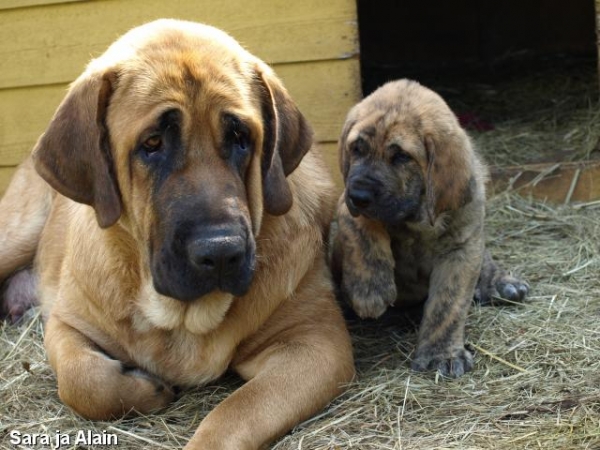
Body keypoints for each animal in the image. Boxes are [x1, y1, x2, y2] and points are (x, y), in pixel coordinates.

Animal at [0, 19, 354, 448]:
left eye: (241, 138)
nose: (221, 252)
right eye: (152, 143)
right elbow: (83, 381)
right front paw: (147, 388)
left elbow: (235, 412)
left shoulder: (314, 342)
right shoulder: (68, 322)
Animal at [330, 79, 528, 378]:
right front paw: (370, 292)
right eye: (356, 149)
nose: (360, 195)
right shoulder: (345, 203)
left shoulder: (461, 248)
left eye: (401, 157)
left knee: (486, 260)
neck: (416, 220)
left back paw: (502, 283)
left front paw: (442, 354)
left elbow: (448, 305)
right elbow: (360, 227)